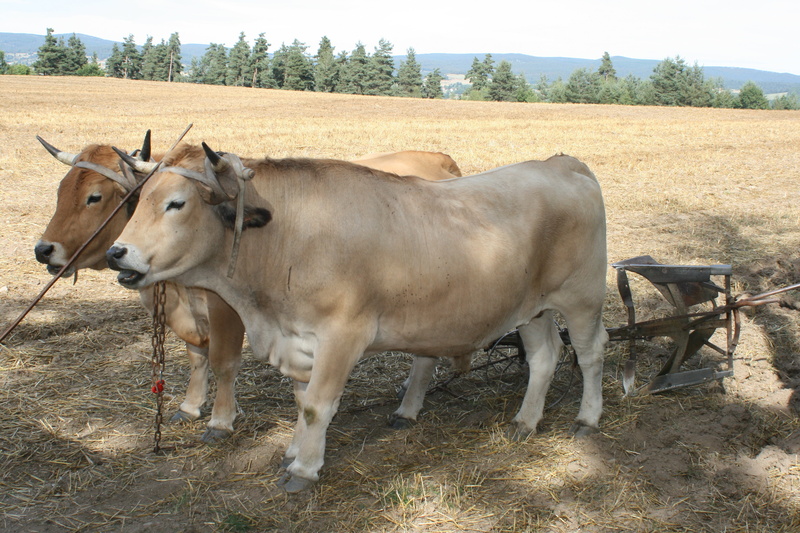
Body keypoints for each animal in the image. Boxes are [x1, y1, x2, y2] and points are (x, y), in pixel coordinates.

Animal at [33, 135, 463, 442]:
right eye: (59, 191)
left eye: (95, 197)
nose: (43, 249)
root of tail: (440, 157)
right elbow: (196, 355)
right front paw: (191, 406)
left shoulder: (226, 308)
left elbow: (224, 361)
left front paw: (220, 421)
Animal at [107, 142, 609, 492]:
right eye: (138, 199)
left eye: (176, 203)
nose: (116, 252)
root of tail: (563, 163)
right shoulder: (299, 340)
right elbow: (300, 400)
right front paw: (292, 453)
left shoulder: (342, 335)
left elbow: (317, 405)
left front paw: (304, 470)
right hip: (532, 308)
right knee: (544, 357)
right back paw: (525, 421)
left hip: (582, 297)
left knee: (590, 353)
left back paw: (587, 419)